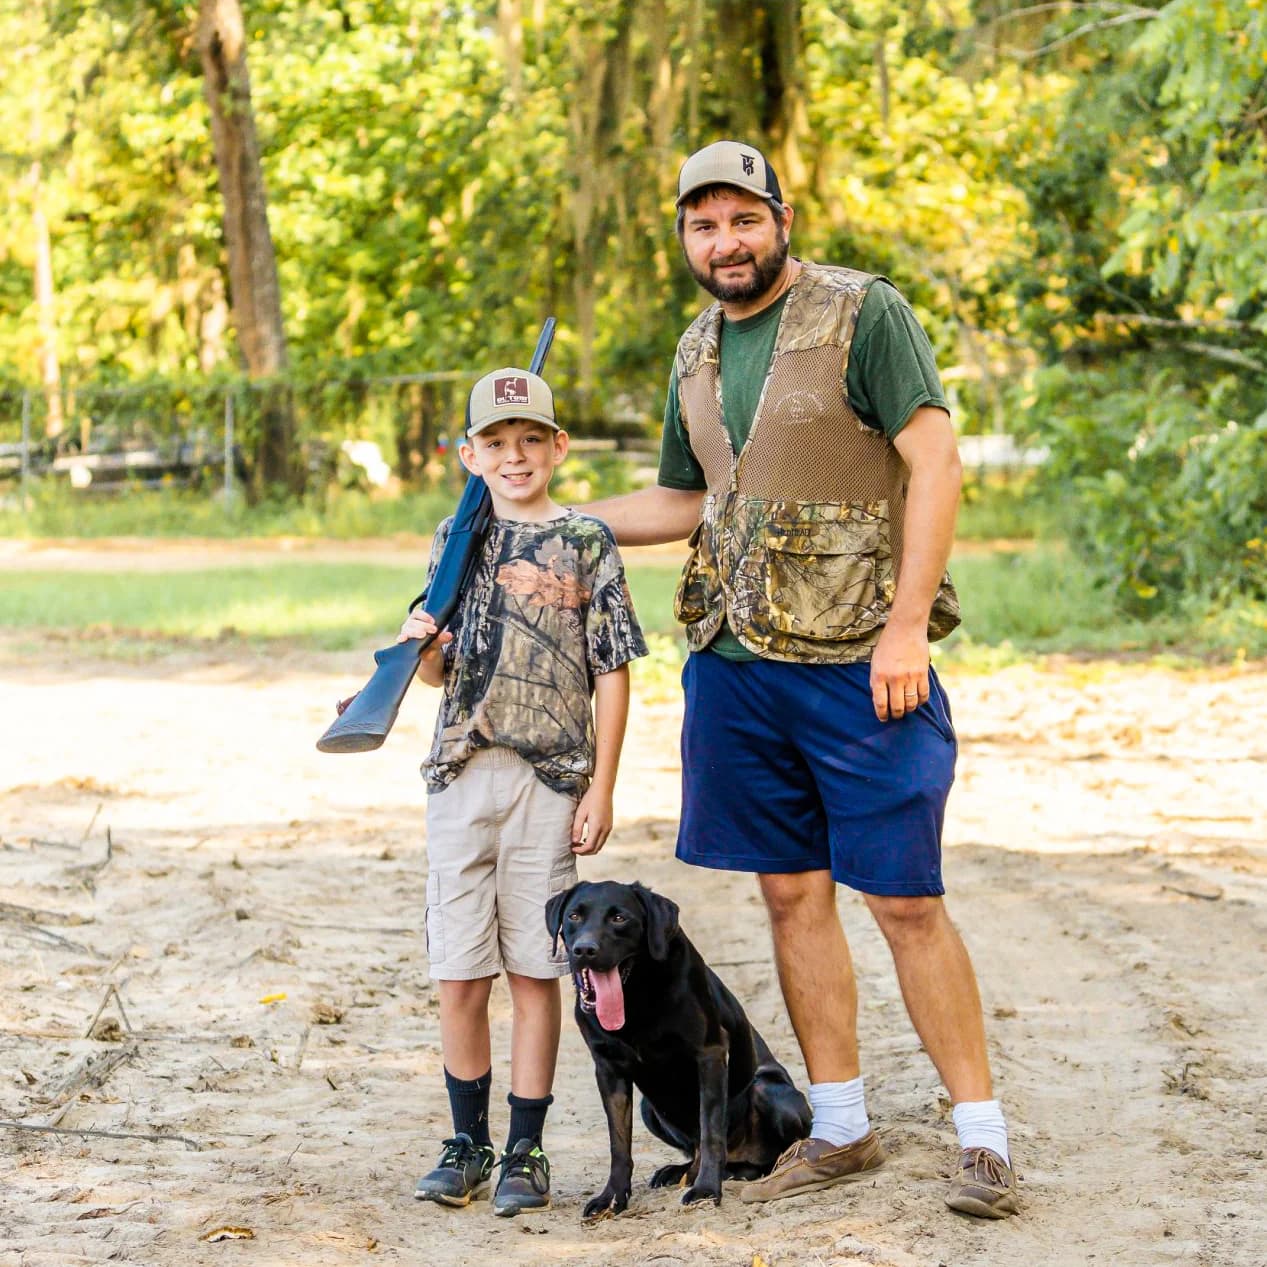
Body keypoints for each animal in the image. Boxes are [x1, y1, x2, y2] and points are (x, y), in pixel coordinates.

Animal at [545, 880, 811, 1217]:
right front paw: (612, 1197)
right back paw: (679, 1172)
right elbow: (619, 1144)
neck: (635, 997)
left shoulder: (709, 1054)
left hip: (768, 1091)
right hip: (649, 1109)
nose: (584, 950)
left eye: (619, 918)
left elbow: (711, 1132)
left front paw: (707, 1189)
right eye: (574, 915)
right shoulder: (608, 1069)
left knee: (762, 1158)